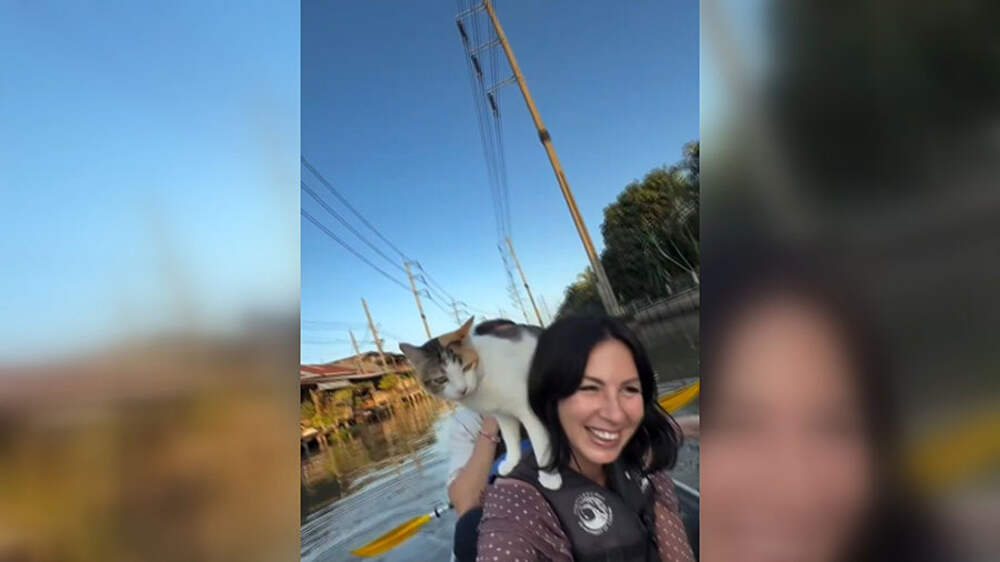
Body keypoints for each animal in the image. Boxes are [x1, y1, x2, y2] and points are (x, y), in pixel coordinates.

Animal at [399, 317, 562, 490]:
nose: (462, 389)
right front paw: (511, 462)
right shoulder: (503, 414)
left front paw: (549, 476)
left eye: (466, 367)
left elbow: (541, 446)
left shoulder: (529, 412)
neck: (483, 373)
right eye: (441, 379)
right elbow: (510, 438)